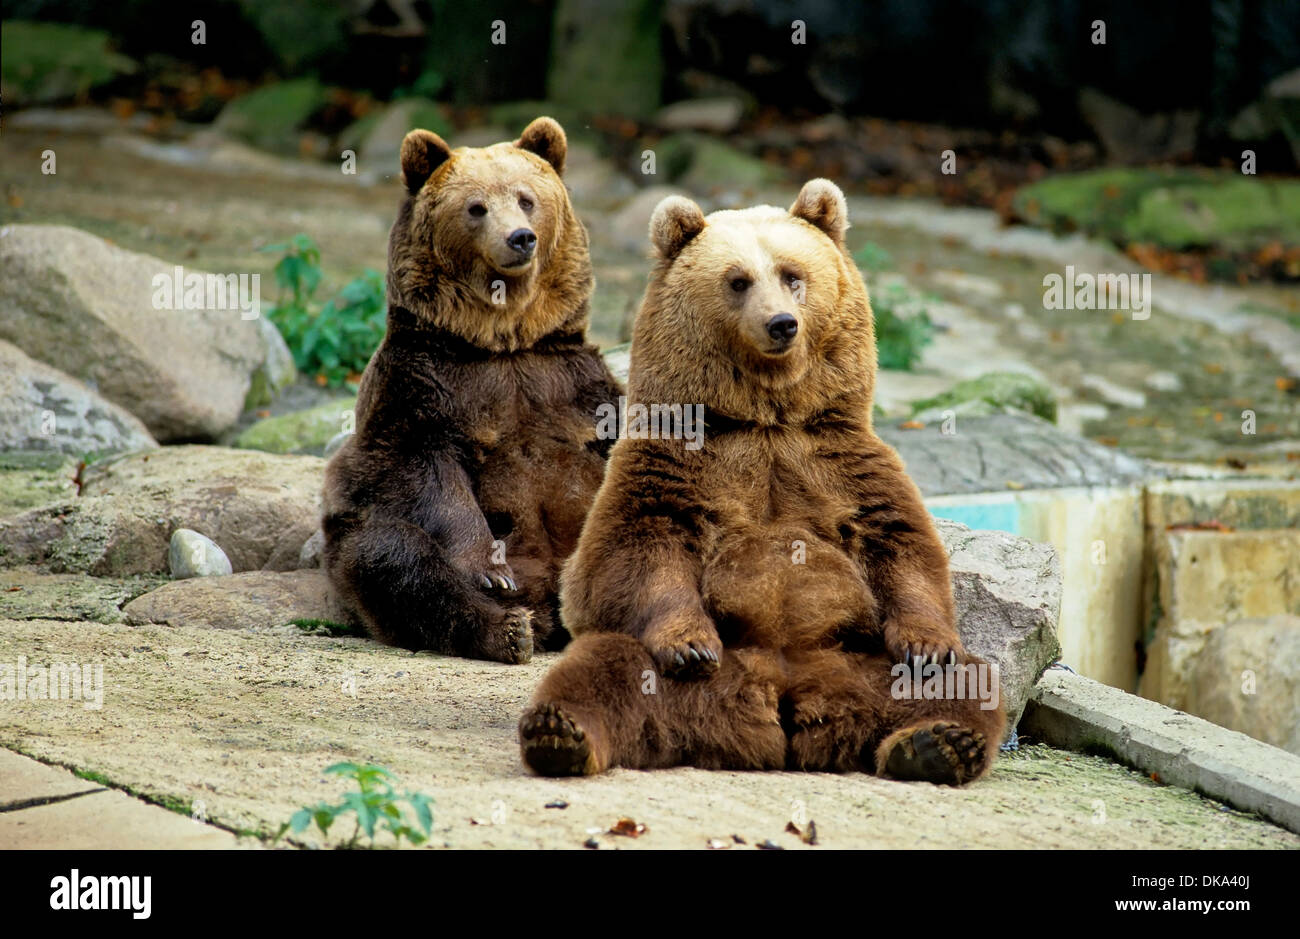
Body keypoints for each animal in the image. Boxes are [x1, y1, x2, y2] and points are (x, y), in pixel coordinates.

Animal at [322, 119, 621, 658]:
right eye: (476, 207)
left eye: (526, 199)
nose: (520, 238)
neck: (504, 343)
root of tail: (552, 606)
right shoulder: (425, 383)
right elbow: (426, 470)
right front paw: (490, 571)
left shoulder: (573, 384)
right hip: (357, 537)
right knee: (391, 556)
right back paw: (508, 630)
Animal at [517, 179, 1003, 780]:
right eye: (738, 280)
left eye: (793, 274)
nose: (781, 323)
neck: (766, 416)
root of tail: (781, 707)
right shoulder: (674, 463)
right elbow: (634, 550)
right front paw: (689, 644)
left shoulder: (843, 464)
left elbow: (900, 546)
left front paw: (928, 646)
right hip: (706, 677)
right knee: (606, 669)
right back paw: (559, 733)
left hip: (860, 662)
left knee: (973, 681)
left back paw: (939, 743)